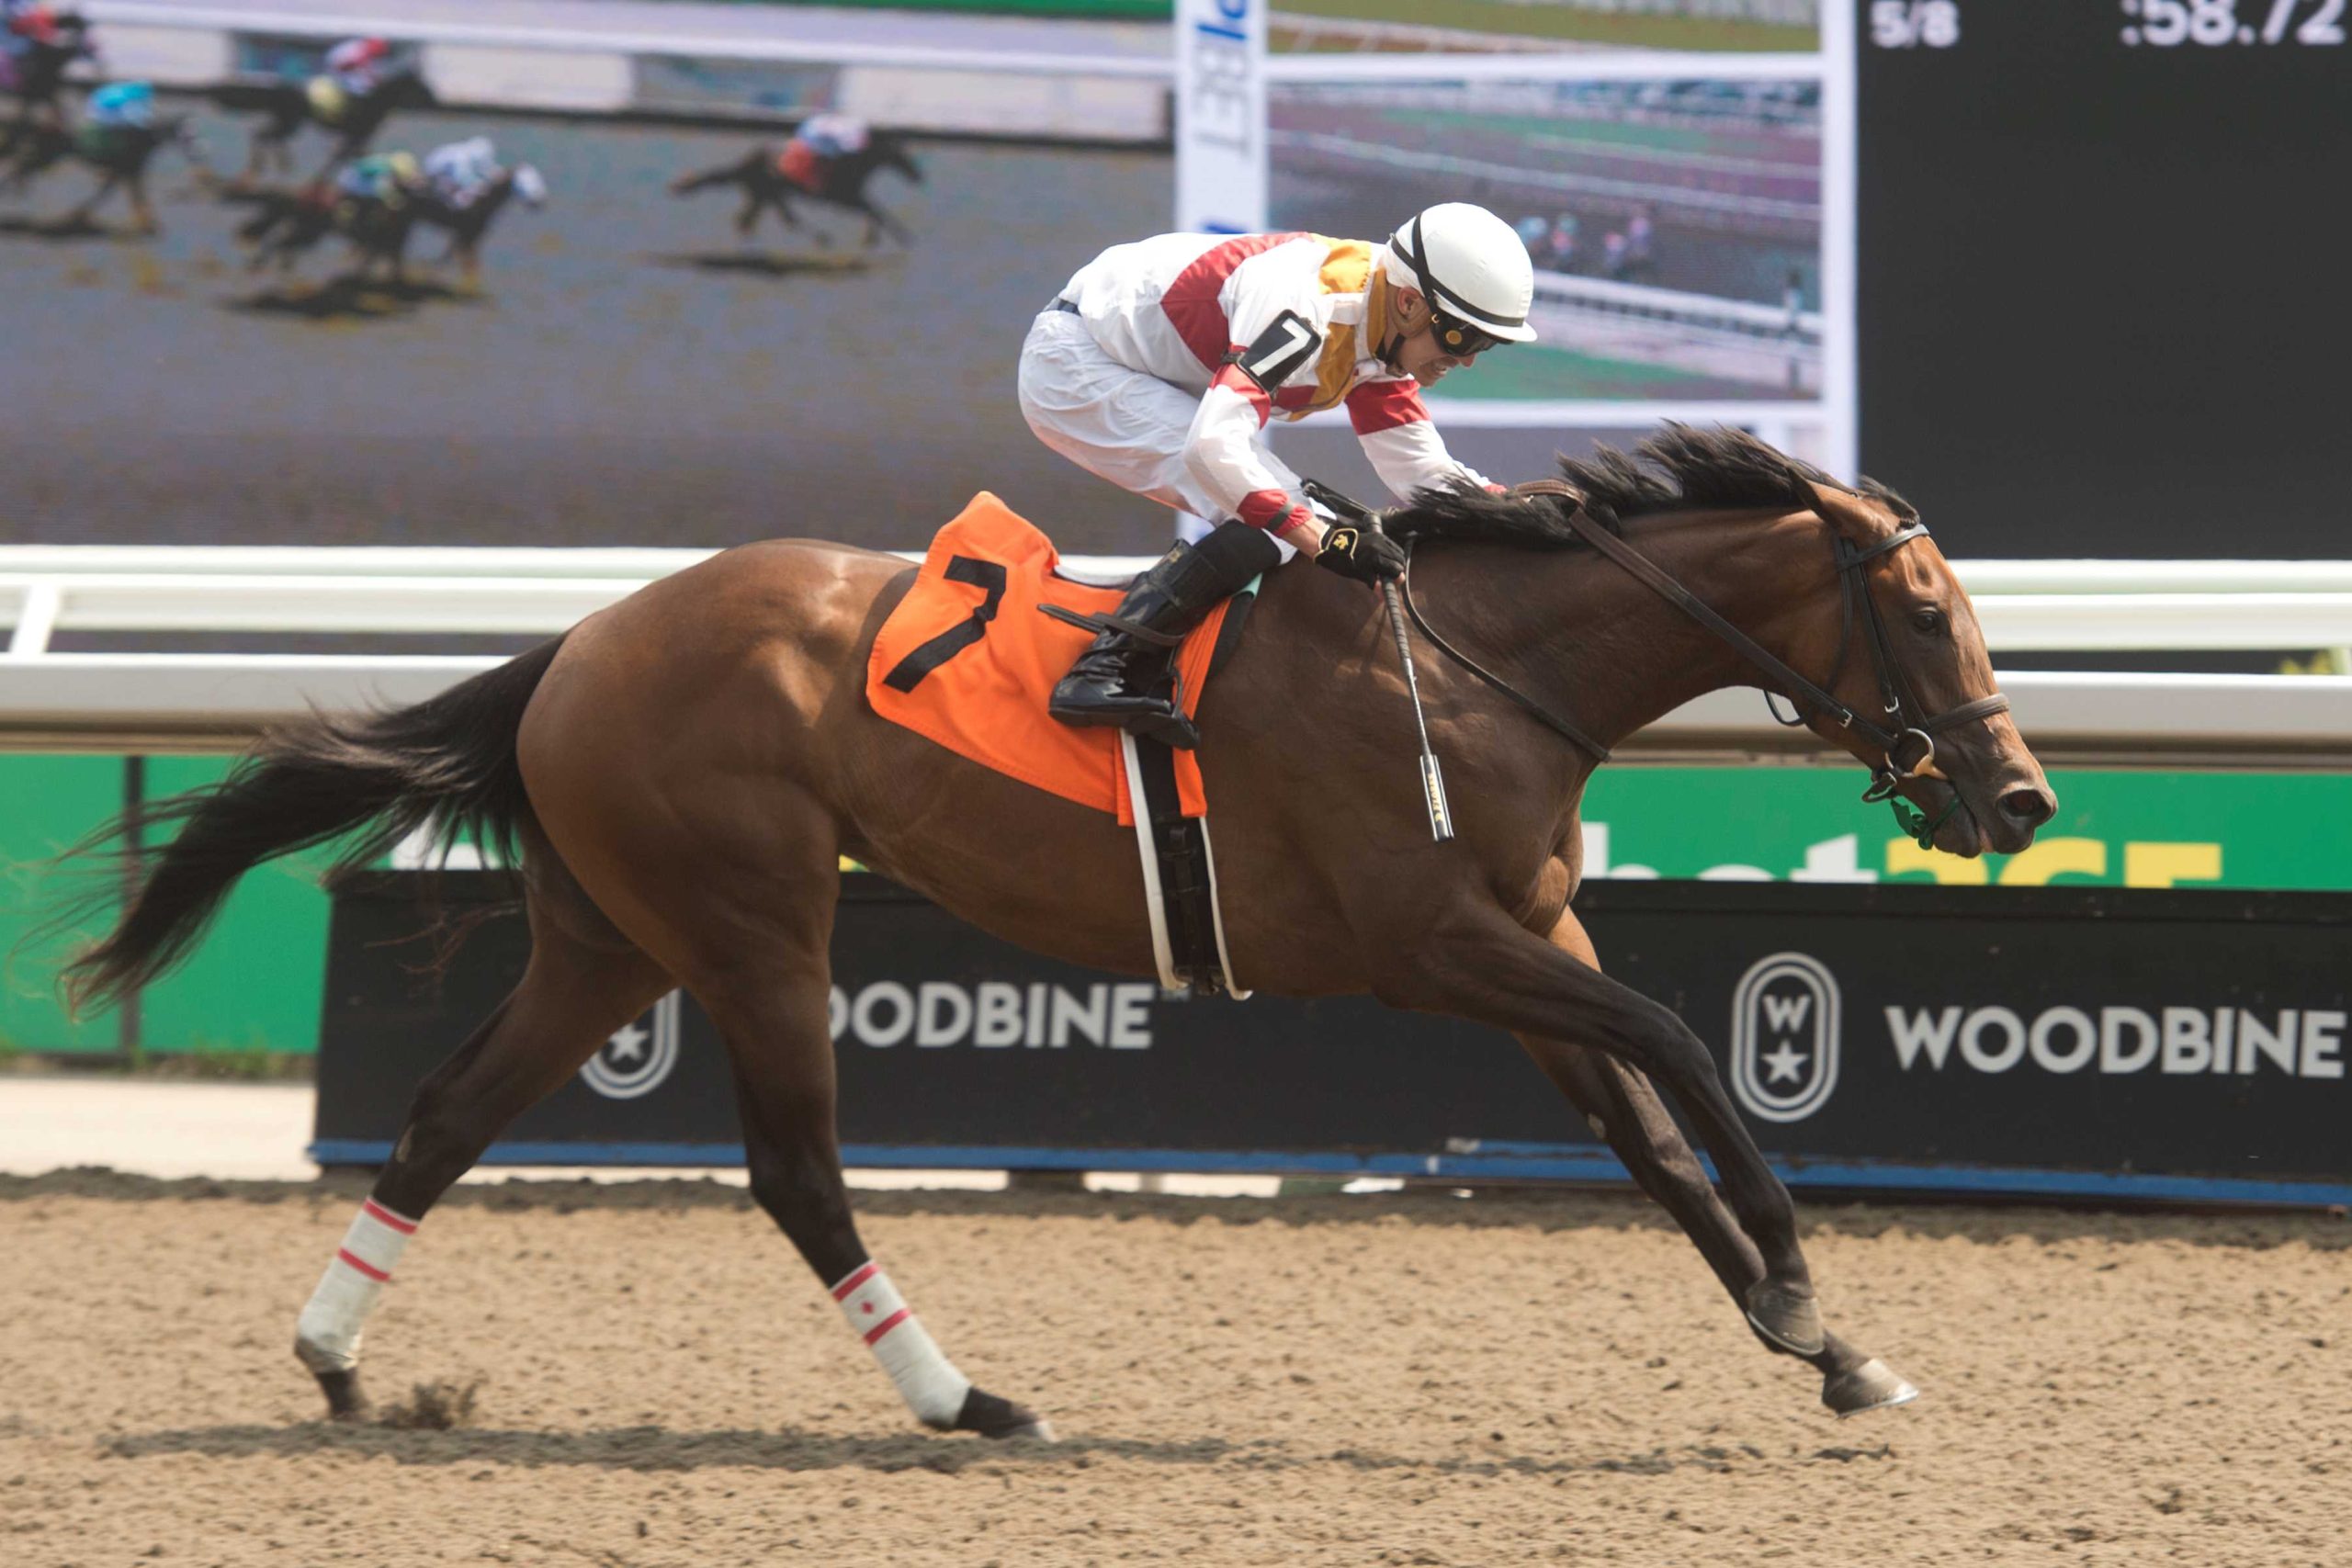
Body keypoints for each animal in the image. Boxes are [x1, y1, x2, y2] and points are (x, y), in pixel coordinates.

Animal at [0, 110, 196, 232]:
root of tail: (41, 126)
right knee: (18, 170)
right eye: (187, 135)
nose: (195, 153)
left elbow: (125, 194)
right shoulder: (126, 170)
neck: (143, 135)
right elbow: (118, 194)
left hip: (41, 160)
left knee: (18, 170)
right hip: (42, 159)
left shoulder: (126, 171)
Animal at [59, 423, 2060, 1438]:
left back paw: (340, 1362)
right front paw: (1802, 1285)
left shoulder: (1519, 947)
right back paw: (965, 1397)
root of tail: (583, 637)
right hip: (754, 922)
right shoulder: (1428, 941)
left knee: (443, 1118)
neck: (1481, 662)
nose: (2020, 797)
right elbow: (1680, 1047)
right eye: (1925, 611)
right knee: (797, 1173)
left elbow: (1643, 1131)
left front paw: (1828, 1348)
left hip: (608, 936)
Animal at [213, 66, 435, 186]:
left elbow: (350, 157)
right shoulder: (355, 135)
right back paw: (261, 167)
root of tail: (278, 90)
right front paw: (318, 183)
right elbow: (341, 157)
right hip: (291, 122)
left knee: (264, 134)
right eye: (422, 87)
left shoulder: (356, 137)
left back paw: (280, 164)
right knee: (264, 135)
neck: (372, 103)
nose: (435, 101)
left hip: (287, 122)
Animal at [673, 128, 926, 247]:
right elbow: (875, 210)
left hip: (766, 193)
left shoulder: (849, 197)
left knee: (749, 220)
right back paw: (822, 237)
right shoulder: (842, 197)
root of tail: (747, 160)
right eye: (903, 154)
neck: (853, 161)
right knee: (781, 219)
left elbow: (874, 210)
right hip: (771, 191)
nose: (918, 175)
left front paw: (874, 238)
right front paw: (895, 237)